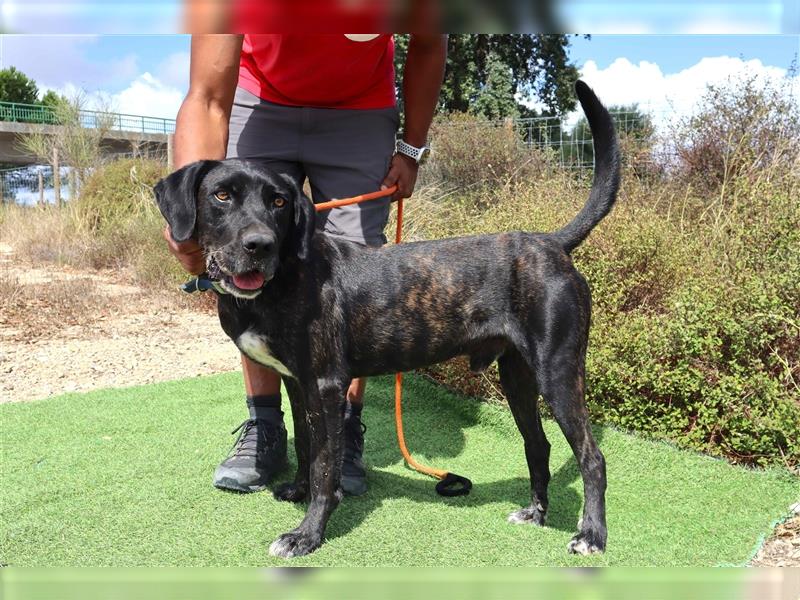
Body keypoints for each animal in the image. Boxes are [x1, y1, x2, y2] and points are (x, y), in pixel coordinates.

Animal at [155, 79, 620, 556]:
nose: (259, 245)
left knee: (592, 457)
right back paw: (535, 513)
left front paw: (308, 533)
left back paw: (591, 535)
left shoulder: (327, 385)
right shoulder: (296, 382)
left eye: (279, 201)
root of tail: (552, 242)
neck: (283, 277)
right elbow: (305, 445)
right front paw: (298, 491)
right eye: (222, 195)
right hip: (517, 376)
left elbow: (326, 465)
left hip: (557, 371)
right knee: (538, 445)